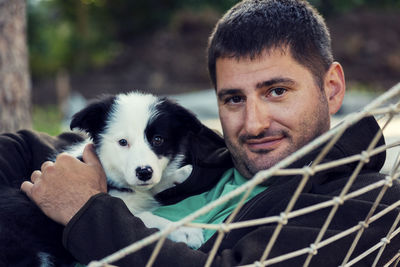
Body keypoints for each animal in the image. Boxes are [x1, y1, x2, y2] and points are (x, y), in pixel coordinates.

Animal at [0, 92, 205, 267]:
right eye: (123, 142)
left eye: (158, 140)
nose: (144, 172)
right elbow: (144, 217)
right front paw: (185, 230)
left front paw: (181, 174)